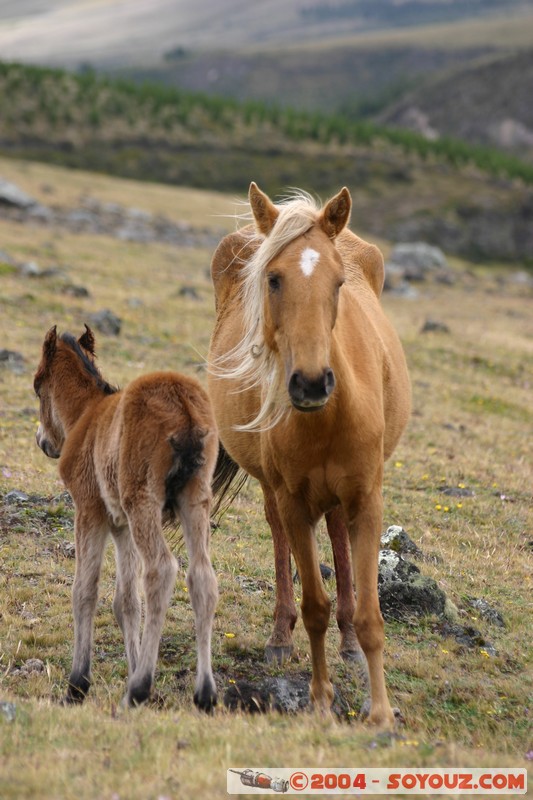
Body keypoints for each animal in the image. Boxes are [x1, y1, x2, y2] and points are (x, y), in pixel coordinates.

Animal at [34, 326, 217, 712]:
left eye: (37, 385)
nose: (44, 441)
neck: (86, 415)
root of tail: (183, 403)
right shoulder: (121, 527)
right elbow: (127, 601)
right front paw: (133, 670)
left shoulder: (89, 509)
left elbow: (84, 590)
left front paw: (77, 684)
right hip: (195, 499)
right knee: (202, 577)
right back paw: (204, 693)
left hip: (143, 500)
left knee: (162, 569)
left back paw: (139, 688)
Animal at [209, 184, 412, 728]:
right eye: (273, 278)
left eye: (338, 282)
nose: (311, 383)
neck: (327, 419)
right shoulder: (294, 502)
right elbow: (314, 606)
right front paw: (320, 701)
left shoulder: (367, 500)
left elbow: (371, 615)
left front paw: (379, 713)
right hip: (273, 489)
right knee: (278, 534)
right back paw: (281, 636)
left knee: (338, 532)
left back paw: (348, 643)